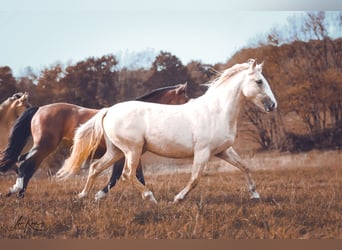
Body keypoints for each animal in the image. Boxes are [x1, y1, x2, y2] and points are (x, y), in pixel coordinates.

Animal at [0, 84, 188, 197]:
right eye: (185, 100)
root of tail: (40, 109)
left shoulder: (130, 154)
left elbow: (136, 176)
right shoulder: (124, 154)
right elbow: (118, 176)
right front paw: (99, 195)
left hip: (43, 146)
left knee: (25, 163)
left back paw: (18, 191)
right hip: (44, 146)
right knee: (25, 163)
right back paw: (18, 190)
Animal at [57, 59, 276, 203]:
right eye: (259, 81)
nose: (273, 105)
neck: (216, 111)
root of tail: (109, 110)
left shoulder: (223, 151)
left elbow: (245, 167)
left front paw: (255, 195)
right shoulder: (203, 152)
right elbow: (195, 178)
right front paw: (178, 198)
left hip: (116, 151)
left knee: (96, 167)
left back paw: (84, 196)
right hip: (132, 150)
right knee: (127, 174)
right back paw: (150, 197)